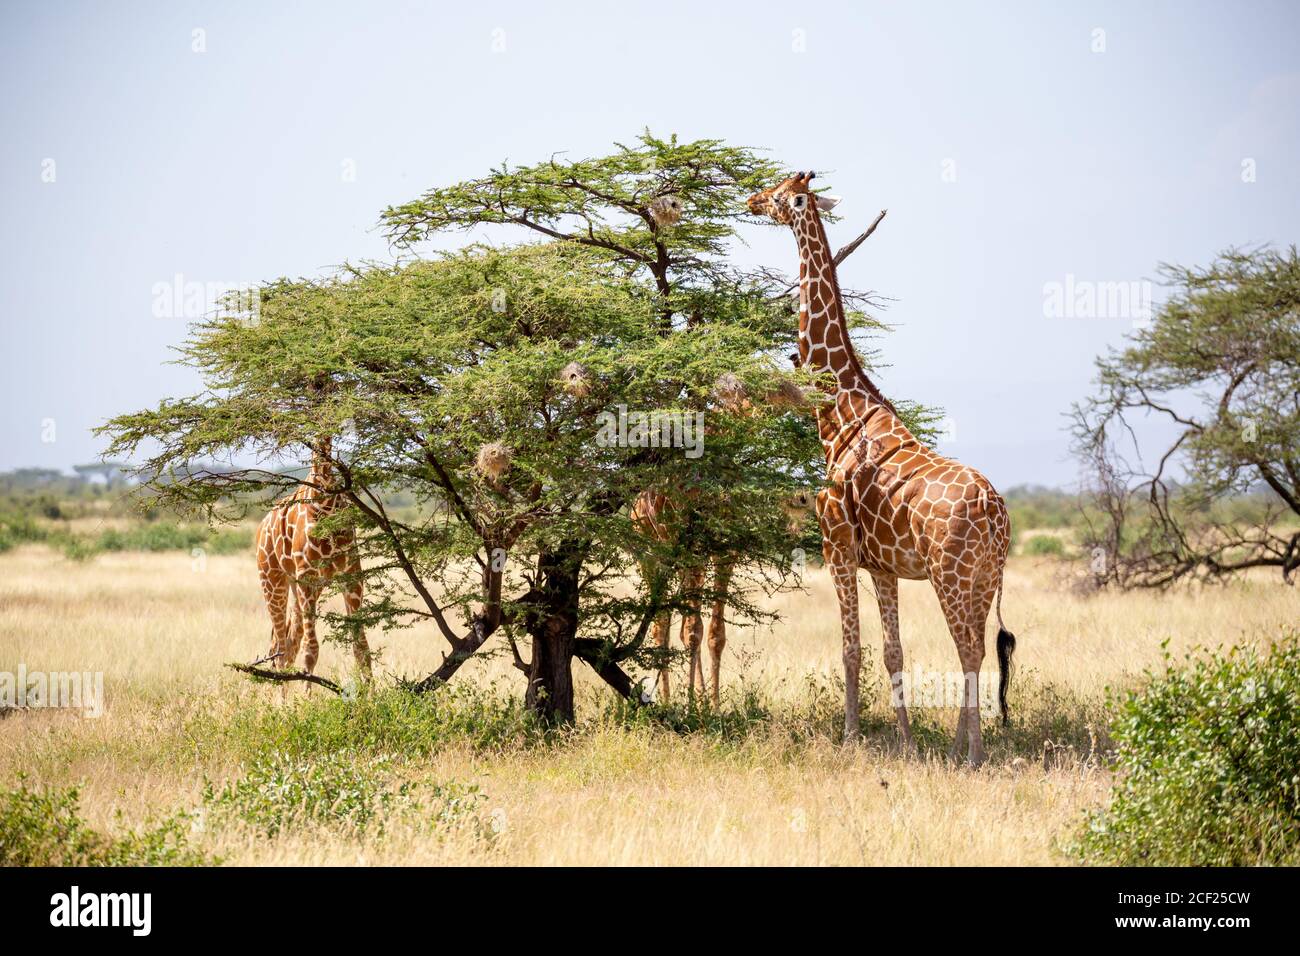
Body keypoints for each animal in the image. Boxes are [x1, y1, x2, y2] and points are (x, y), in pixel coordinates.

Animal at [255, 437, 372, 681]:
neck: (326, 501)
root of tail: (261, 526)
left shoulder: (351, 575)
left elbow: (361, 648)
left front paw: (370, 690)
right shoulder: (307, 576)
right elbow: (311, 650)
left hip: (300, 586)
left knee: (289, 644)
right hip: (272, 580)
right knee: (280, 649)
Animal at [748, 171, 1016, 766]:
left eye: (779, 193)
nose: (750, 199)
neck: (839, 413)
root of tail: (994, 510)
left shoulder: (836, 545)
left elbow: (851, 648)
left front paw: (851, 737)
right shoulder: (884, 566)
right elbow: (893, 651)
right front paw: (909, 745)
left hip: (950, 573)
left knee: (968, 648)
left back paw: (973, 754)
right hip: (985, 575)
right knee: (977, 648)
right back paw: (957, 745)